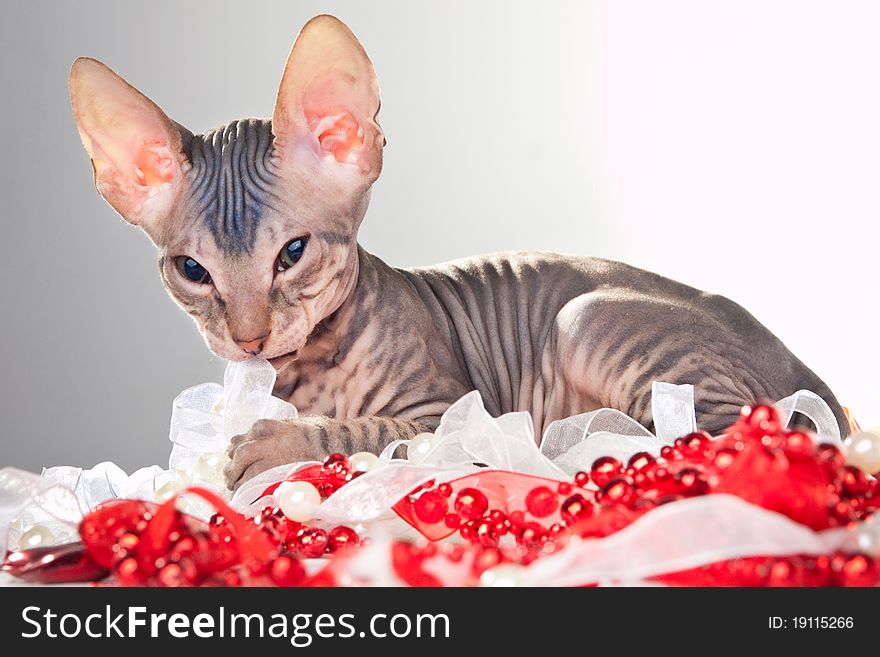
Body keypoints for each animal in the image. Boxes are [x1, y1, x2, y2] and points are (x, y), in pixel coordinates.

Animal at [65, 15, 848, 490]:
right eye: (192, 272)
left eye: (292, 253)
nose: (248, 337)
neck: (311, 368)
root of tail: (802, 365)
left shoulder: (448, 407)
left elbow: (370, 429)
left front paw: (276, 446)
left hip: (584, 319)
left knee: (717, 431)